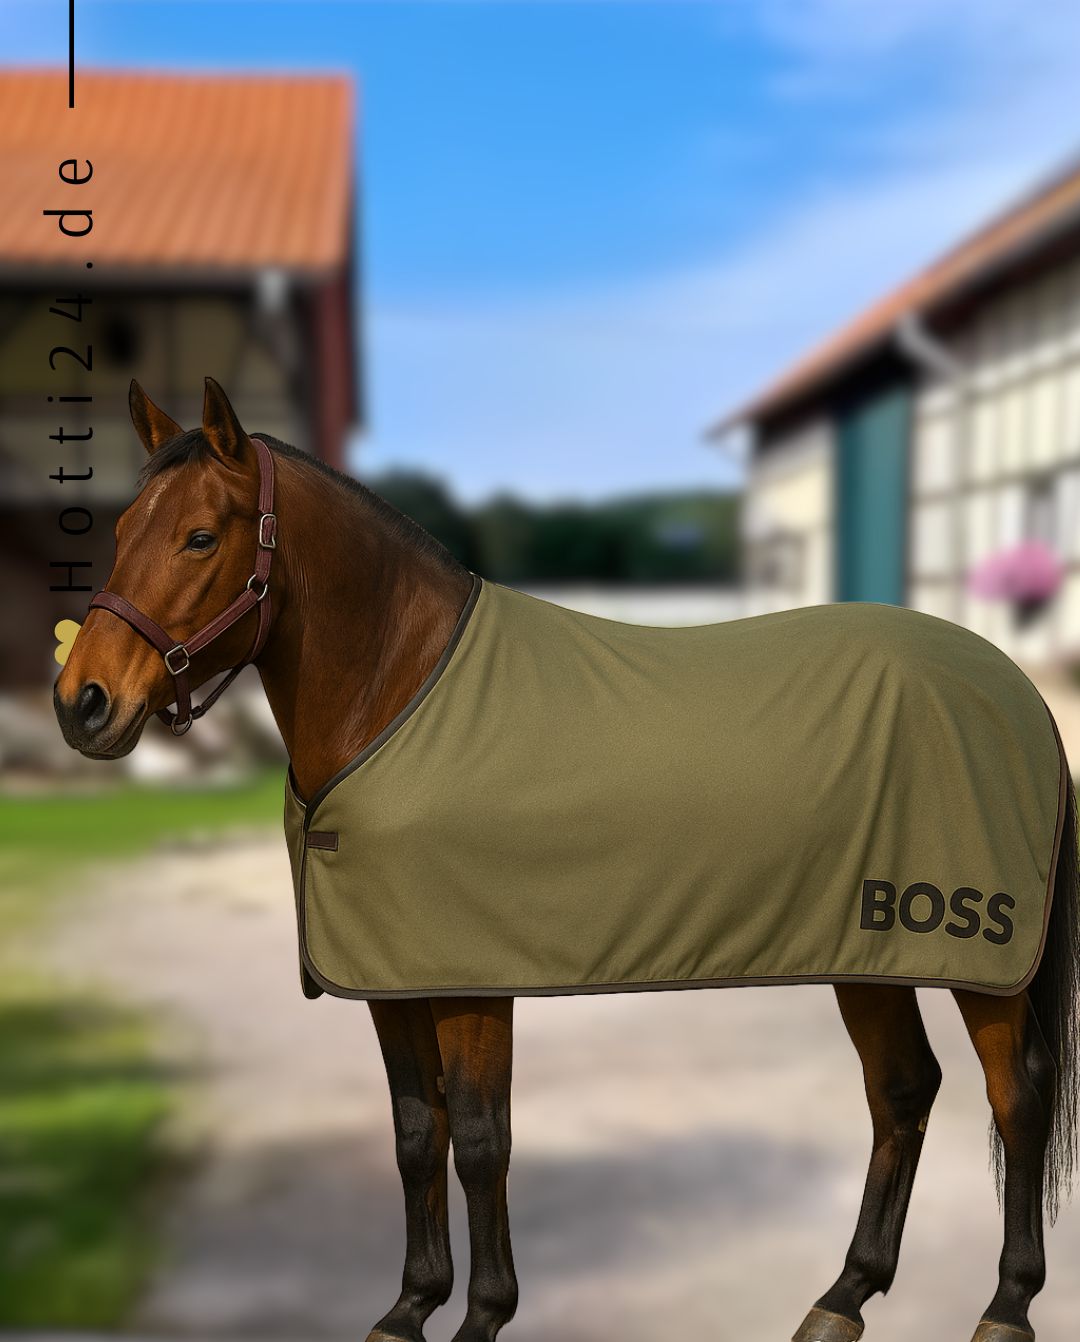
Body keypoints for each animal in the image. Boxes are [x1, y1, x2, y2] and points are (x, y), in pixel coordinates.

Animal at [54, 377, 1079, 1342]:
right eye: (121, 528)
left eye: (199, 537)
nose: (82, 703)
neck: (401, 691)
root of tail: (1014, 688)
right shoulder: (389, 977)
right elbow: (415, 1132)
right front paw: (408, 1307)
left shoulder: (470, 981)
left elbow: (479, 1137)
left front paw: (481, 1315)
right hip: (867, 946)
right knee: (902, 1090)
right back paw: (844, 1297)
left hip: (977, 959)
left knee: (1016, 1097)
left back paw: (1006, 1306)